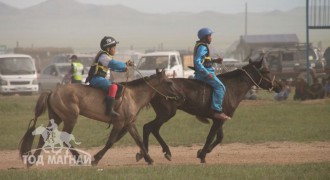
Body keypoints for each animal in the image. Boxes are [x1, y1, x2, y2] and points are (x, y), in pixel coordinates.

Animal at [19, 68, 179, 166]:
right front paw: (95, 159)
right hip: (70, 118)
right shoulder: (119, 123)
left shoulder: (129, 124)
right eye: (169, 82)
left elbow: (139, 141)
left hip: (56, 118)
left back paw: (32, 161)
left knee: (44, 136)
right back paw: (79, 160)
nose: (179, 97)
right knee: (65, 137)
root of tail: (52, 91)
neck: (132, 96)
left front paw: (149, 159)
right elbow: (110, 142)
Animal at [139, 59, 282, 163]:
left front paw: (203, 152)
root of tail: (154, 86)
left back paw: (147, 153)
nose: (280, 85)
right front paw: (202, 155)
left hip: (164, 114)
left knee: (151, 128)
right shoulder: (218, 120)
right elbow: (211, 137)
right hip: (166, 114)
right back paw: (156, 153)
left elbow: (219, 137)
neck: (231, 88)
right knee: (149, 128)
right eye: (267, 70)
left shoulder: (219, 119)